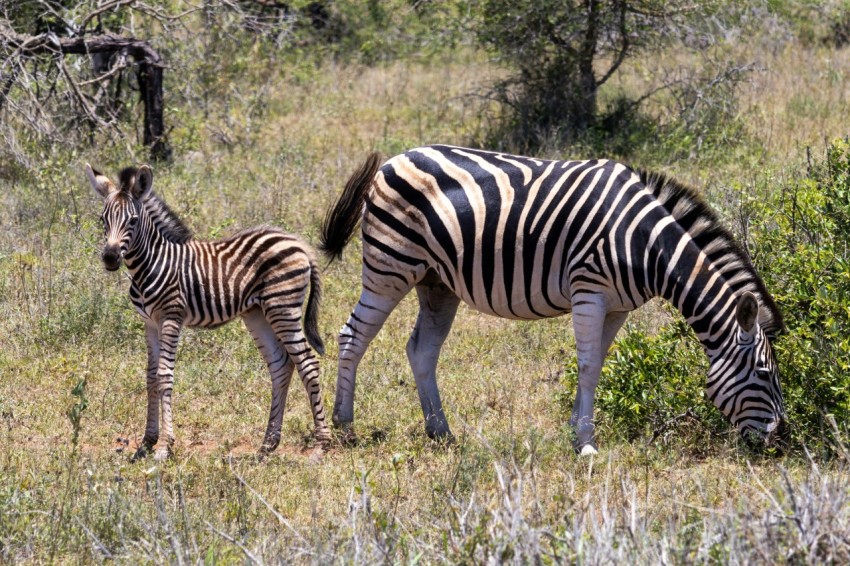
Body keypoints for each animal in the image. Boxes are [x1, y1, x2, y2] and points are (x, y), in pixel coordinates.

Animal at [83, 163, 328, 462]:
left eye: (132, 220)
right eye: (103, 219)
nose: (109, 258)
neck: (151, 263)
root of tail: (297, 242)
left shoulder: (170, 318)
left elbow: (164, 375)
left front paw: (164, 446)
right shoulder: (149, 323)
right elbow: (150, 376)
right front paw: (147, 441)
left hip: (283, 306)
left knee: (308, 364)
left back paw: (321, 445)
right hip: (258, 312)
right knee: (281, 365)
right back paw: (267, 445)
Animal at [320, 146, 788, 458]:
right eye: (765, 374)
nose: (781, 440)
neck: (646, 245)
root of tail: (393, 160)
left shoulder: (617, 305)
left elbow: (597, 362)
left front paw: (576, 433)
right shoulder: (589, 291)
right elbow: (589, 365)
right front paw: (586, 444)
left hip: (437, 283)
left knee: (421, 350)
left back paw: (441, 432)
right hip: (390, 266)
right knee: (352, 336)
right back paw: (344, 425)